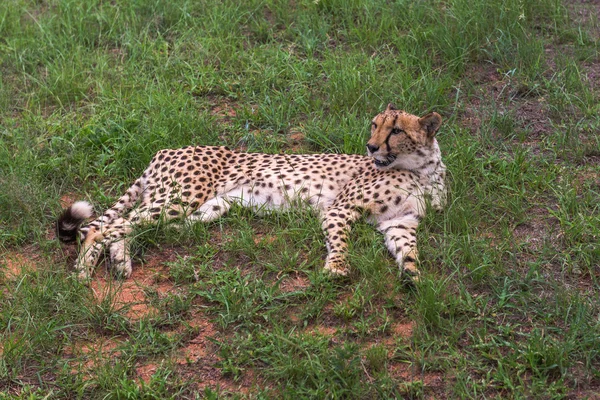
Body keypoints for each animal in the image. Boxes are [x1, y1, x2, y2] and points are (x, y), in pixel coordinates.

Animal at [57, 104, 446, 282]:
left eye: (395, 130)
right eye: (375, 125)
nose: (370, 146)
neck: (423, 170)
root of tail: (166, 150)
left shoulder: (400, 222)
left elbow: (409, 251)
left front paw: (414, 277)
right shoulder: (339, 209)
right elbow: (340, 240)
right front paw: (336, 267)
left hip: (198, 210)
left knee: (124, 226)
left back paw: (120, 261)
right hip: (180, 199)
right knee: (100, 227)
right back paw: (83, 271)